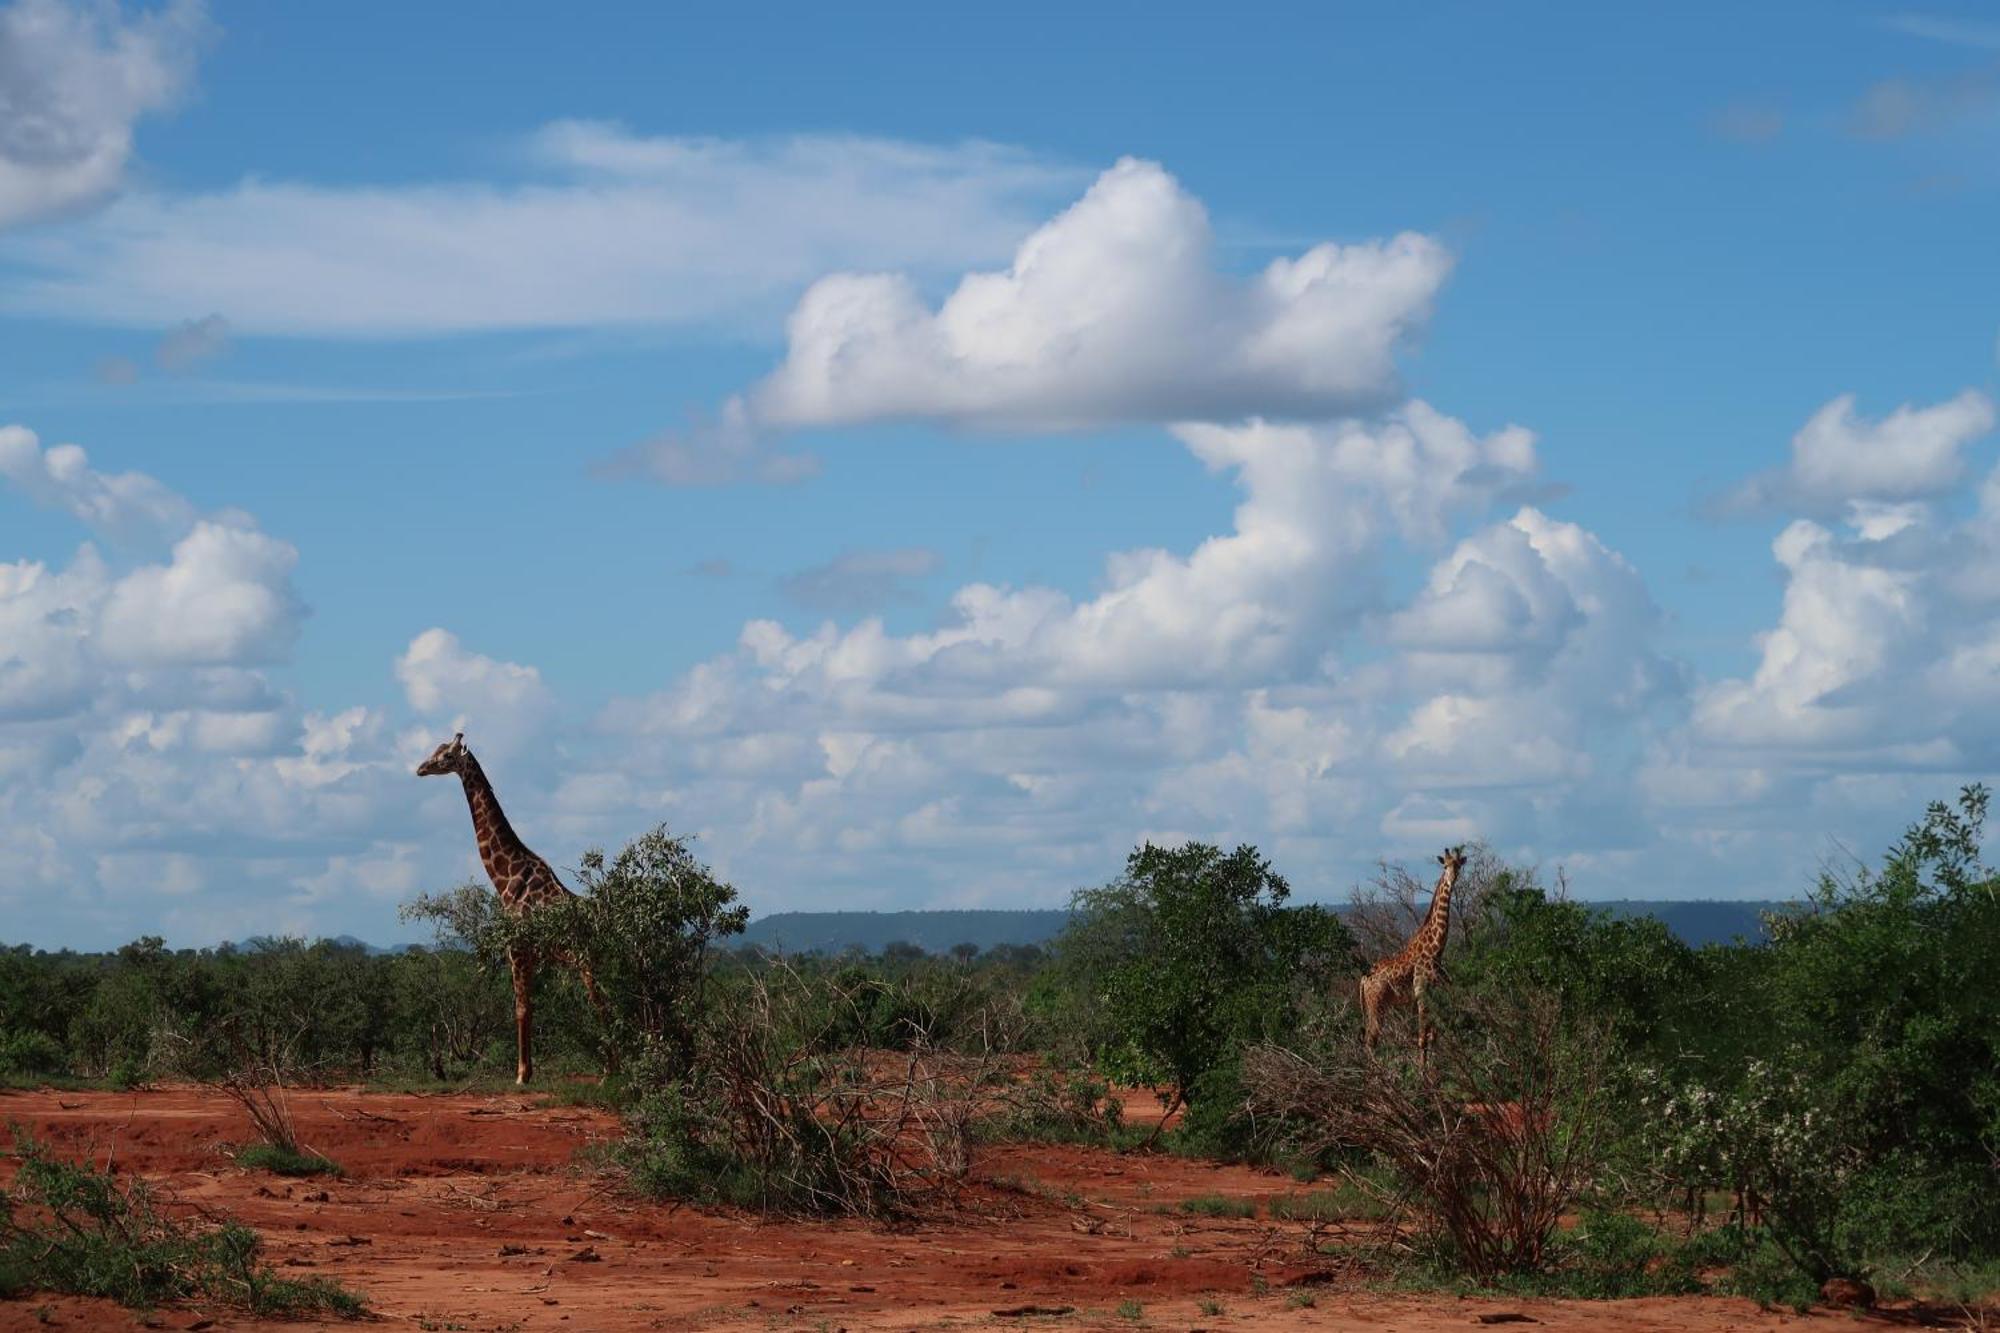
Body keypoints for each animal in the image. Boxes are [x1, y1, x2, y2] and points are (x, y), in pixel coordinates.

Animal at [414, 732, 608, 1088]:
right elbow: (529, 1007)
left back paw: (611, 1071)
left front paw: (520, 1075)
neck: (507, 876)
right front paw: (528, 1071)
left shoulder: (516, 949)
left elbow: (519, 1008)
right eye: (436, 749)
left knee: (604, 1006)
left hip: (589, 963)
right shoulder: (529, 955)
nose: (421, 768)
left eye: (447, 756)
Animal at [1360, 844, 1472, 1064]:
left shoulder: (1434, 995)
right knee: (1371, 1040)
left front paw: (1434, 1071)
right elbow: (1422, 1039)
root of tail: (1364, 980)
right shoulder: (1421, 994)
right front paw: (1423, 1073)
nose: (1452, 878)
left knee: (1369, 1038)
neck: (1435, 950)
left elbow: (1432, 1037)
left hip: (1373, 1006)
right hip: (1377, 1005)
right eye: (1445, 866)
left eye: (1458, 866)